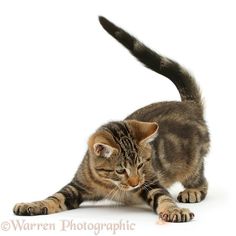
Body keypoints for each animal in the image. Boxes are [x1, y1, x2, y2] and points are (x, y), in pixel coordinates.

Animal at [13, 16, 208, 223]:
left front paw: (173, 210)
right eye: (120, 170)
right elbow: (54, 197)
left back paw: (193, 191)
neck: (110, 184)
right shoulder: (76, 186)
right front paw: (32, 204)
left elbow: (164, 197)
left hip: (192, 163)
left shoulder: (151, 182)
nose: (135, 182)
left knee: (202, 179)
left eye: (141, 165)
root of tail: (189, 105)